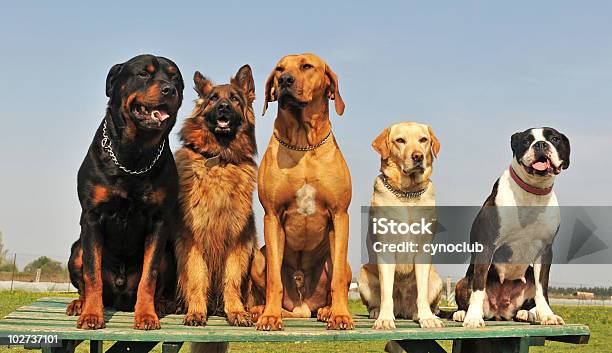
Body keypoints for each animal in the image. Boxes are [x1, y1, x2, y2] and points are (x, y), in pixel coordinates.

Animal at [251, 53, 352, 330]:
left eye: (307, 66)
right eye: (279, 69)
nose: (285, 80)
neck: (303, 144)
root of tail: (303, 307)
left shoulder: (340, 215)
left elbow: (338, 279)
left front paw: (341, 315)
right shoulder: (272, 216)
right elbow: (274, 280)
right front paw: (270, 316)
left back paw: (328, 310)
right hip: (258, 259)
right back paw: (259, 310)